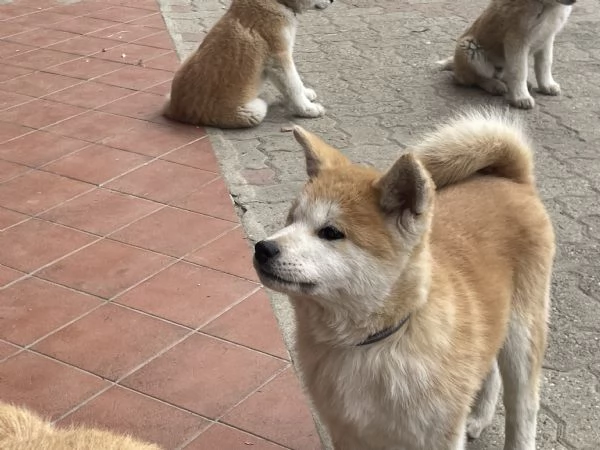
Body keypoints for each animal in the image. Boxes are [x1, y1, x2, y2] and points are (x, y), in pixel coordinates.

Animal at [163, 0, 332, 128]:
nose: (332, 1)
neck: (277, 1)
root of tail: (174, 110)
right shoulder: (279, 60)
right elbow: (293, 84)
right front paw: (307, 109)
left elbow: (295, 83)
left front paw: (306, 94)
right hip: (251, 112)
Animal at [252, 110, 552, 450]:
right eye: (291, 220)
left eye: (330, 232)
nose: (263, 248)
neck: (374, 343)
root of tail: (510, 180)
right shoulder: (347, 431)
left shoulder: (437, 436)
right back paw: (478, 416)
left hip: (522, 335)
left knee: (523, 407)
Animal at [438, 0, 576, 109]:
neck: (545, 5)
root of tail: (455, 64)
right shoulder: (516, 40)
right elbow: (519, 71)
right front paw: (521, 97)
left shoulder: (547, 38)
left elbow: (545, 64)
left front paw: (546, 85)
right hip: (470, 49)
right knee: (475, 78)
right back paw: (494, 85)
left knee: (500, 73)